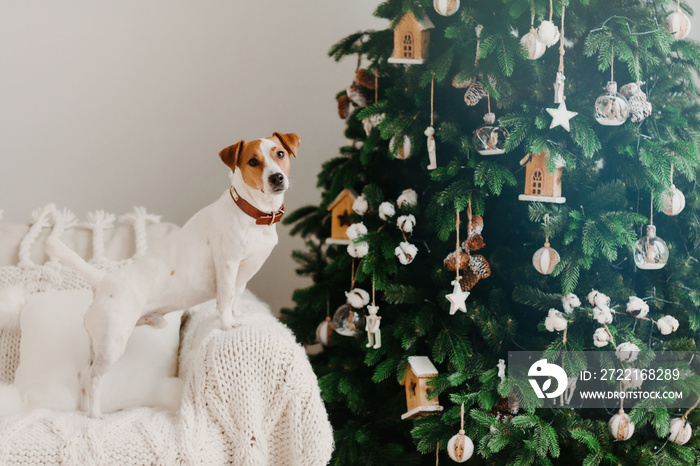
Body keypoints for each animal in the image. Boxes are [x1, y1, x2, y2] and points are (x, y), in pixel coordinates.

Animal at [46, 132, 298, 418]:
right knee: (93, 379)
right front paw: (227, 324)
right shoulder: (227, 265)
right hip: (112, 345)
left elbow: (234, 297)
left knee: (81, 374)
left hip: (97, 345)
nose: (277, 177)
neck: (251, 212)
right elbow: (224, 299)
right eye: (253, 161)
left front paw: (237, 315)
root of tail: (102, 281)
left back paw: (84, 412)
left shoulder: (243, 274)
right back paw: (95, 415)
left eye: (280, 154)